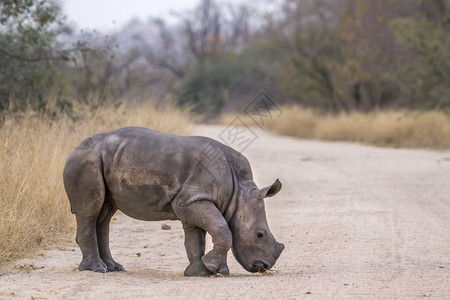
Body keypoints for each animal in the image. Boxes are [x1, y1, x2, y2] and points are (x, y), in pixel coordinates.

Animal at [62, 126, 284, 276]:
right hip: (86, 161)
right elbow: (222, 229)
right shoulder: (192, 200)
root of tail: (74, 148)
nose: (264, 266)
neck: (239, 193)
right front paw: (216, 269)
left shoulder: (193, 202)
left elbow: (196, 238)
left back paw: (114, 267)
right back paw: (97, 269)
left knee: (105, 214)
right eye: (259, 234)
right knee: (90, 212)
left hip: (103, 160)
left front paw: (200, 272)